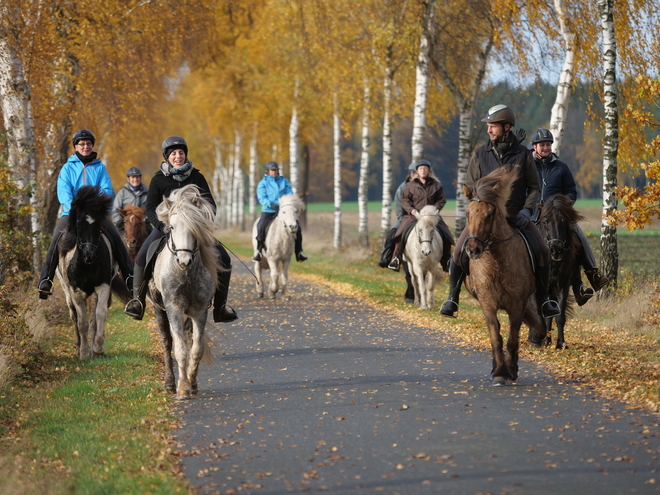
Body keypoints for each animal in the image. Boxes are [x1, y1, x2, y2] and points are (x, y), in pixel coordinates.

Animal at [56, 186, 116, 360]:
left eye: (97, 224)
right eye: (79, 223)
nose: (89, 255)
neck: (86, 265)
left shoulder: (103, 286)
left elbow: (100, 314)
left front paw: (98, 348)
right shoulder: (75, 291)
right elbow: (81, 322)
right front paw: (83, 353)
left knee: (93, 316)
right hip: (66, 290)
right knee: (74, 315)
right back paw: (78, 347)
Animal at [147, 185, 219, 400]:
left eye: (194, 228)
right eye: (171, 227)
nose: (184, 261)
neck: (185, 274)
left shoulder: (199, 311)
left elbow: (195, 349)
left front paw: (192, 384)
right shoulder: (174, 310)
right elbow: (179, 350)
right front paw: (182, 390)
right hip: (159, 310)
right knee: (167, 342)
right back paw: (170, 383)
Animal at [458, 168, 548, 388]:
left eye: (489, 214)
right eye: (467, 213)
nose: (473, 249)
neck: (496, 262)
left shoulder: (516, 305)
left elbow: (512, 339)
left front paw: (511, 370)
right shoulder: (487, 303)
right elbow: (495, 337)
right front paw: (499, 372)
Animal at [536, 193, 584, 348]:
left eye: (564, 221)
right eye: (545, 222)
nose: (556, 250)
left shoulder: (562, 286)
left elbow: (559, 316)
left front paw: (560, 343)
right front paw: (545, 341)